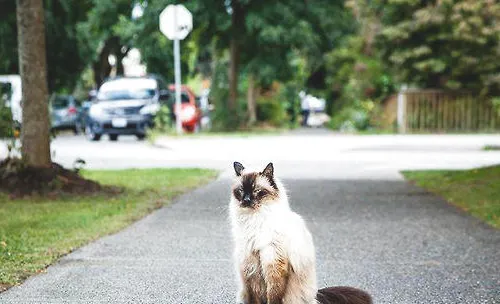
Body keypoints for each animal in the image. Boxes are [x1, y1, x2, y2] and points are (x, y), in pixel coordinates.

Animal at [230, 162, 372, 304]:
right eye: (241, 191)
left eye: (256, 191)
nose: (246, 200)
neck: (254, 220)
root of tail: (316, 295)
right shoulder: (250, 268)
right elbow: (254, 297)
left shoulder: (274, 264)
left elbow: (274, 295)